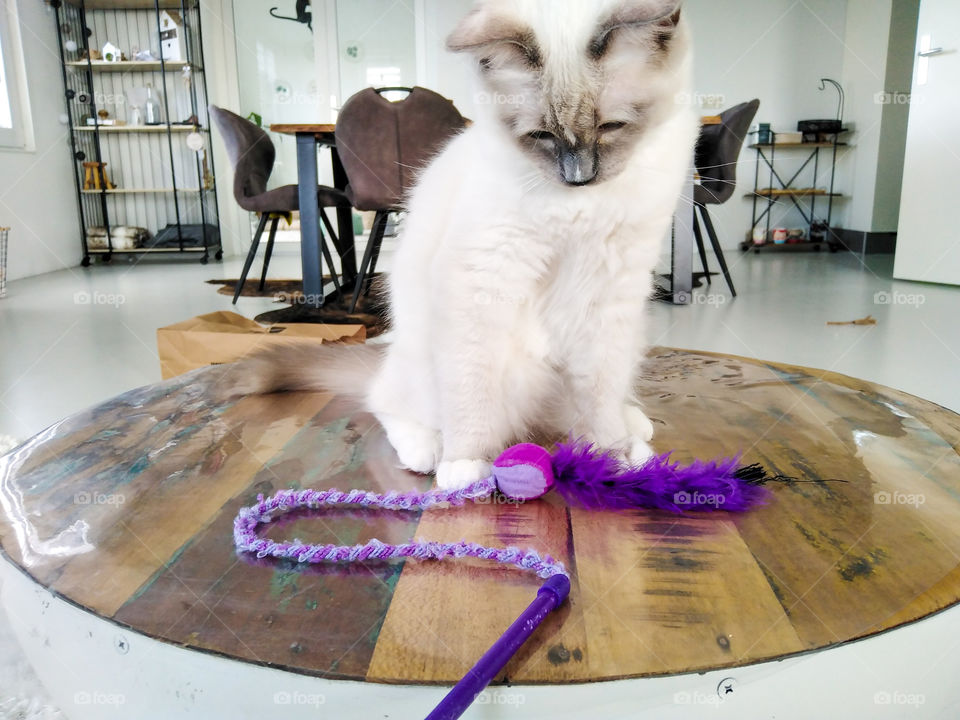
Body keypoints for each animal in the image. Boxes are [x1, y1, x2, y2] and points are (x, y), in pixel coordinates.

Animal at [235, 0, 692, 490]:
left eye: (611, 127)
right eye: (541, 136)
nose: (579, 177)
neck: (579, 208)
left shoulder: (611, 291)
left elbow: (599, 396)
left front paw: (614, 454)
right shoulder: (484, 275)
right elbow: (471, 391)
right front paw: (466, 464)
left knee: (584, 405)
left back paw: (633, 430)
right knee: (387, 402)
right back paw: (430, 452)